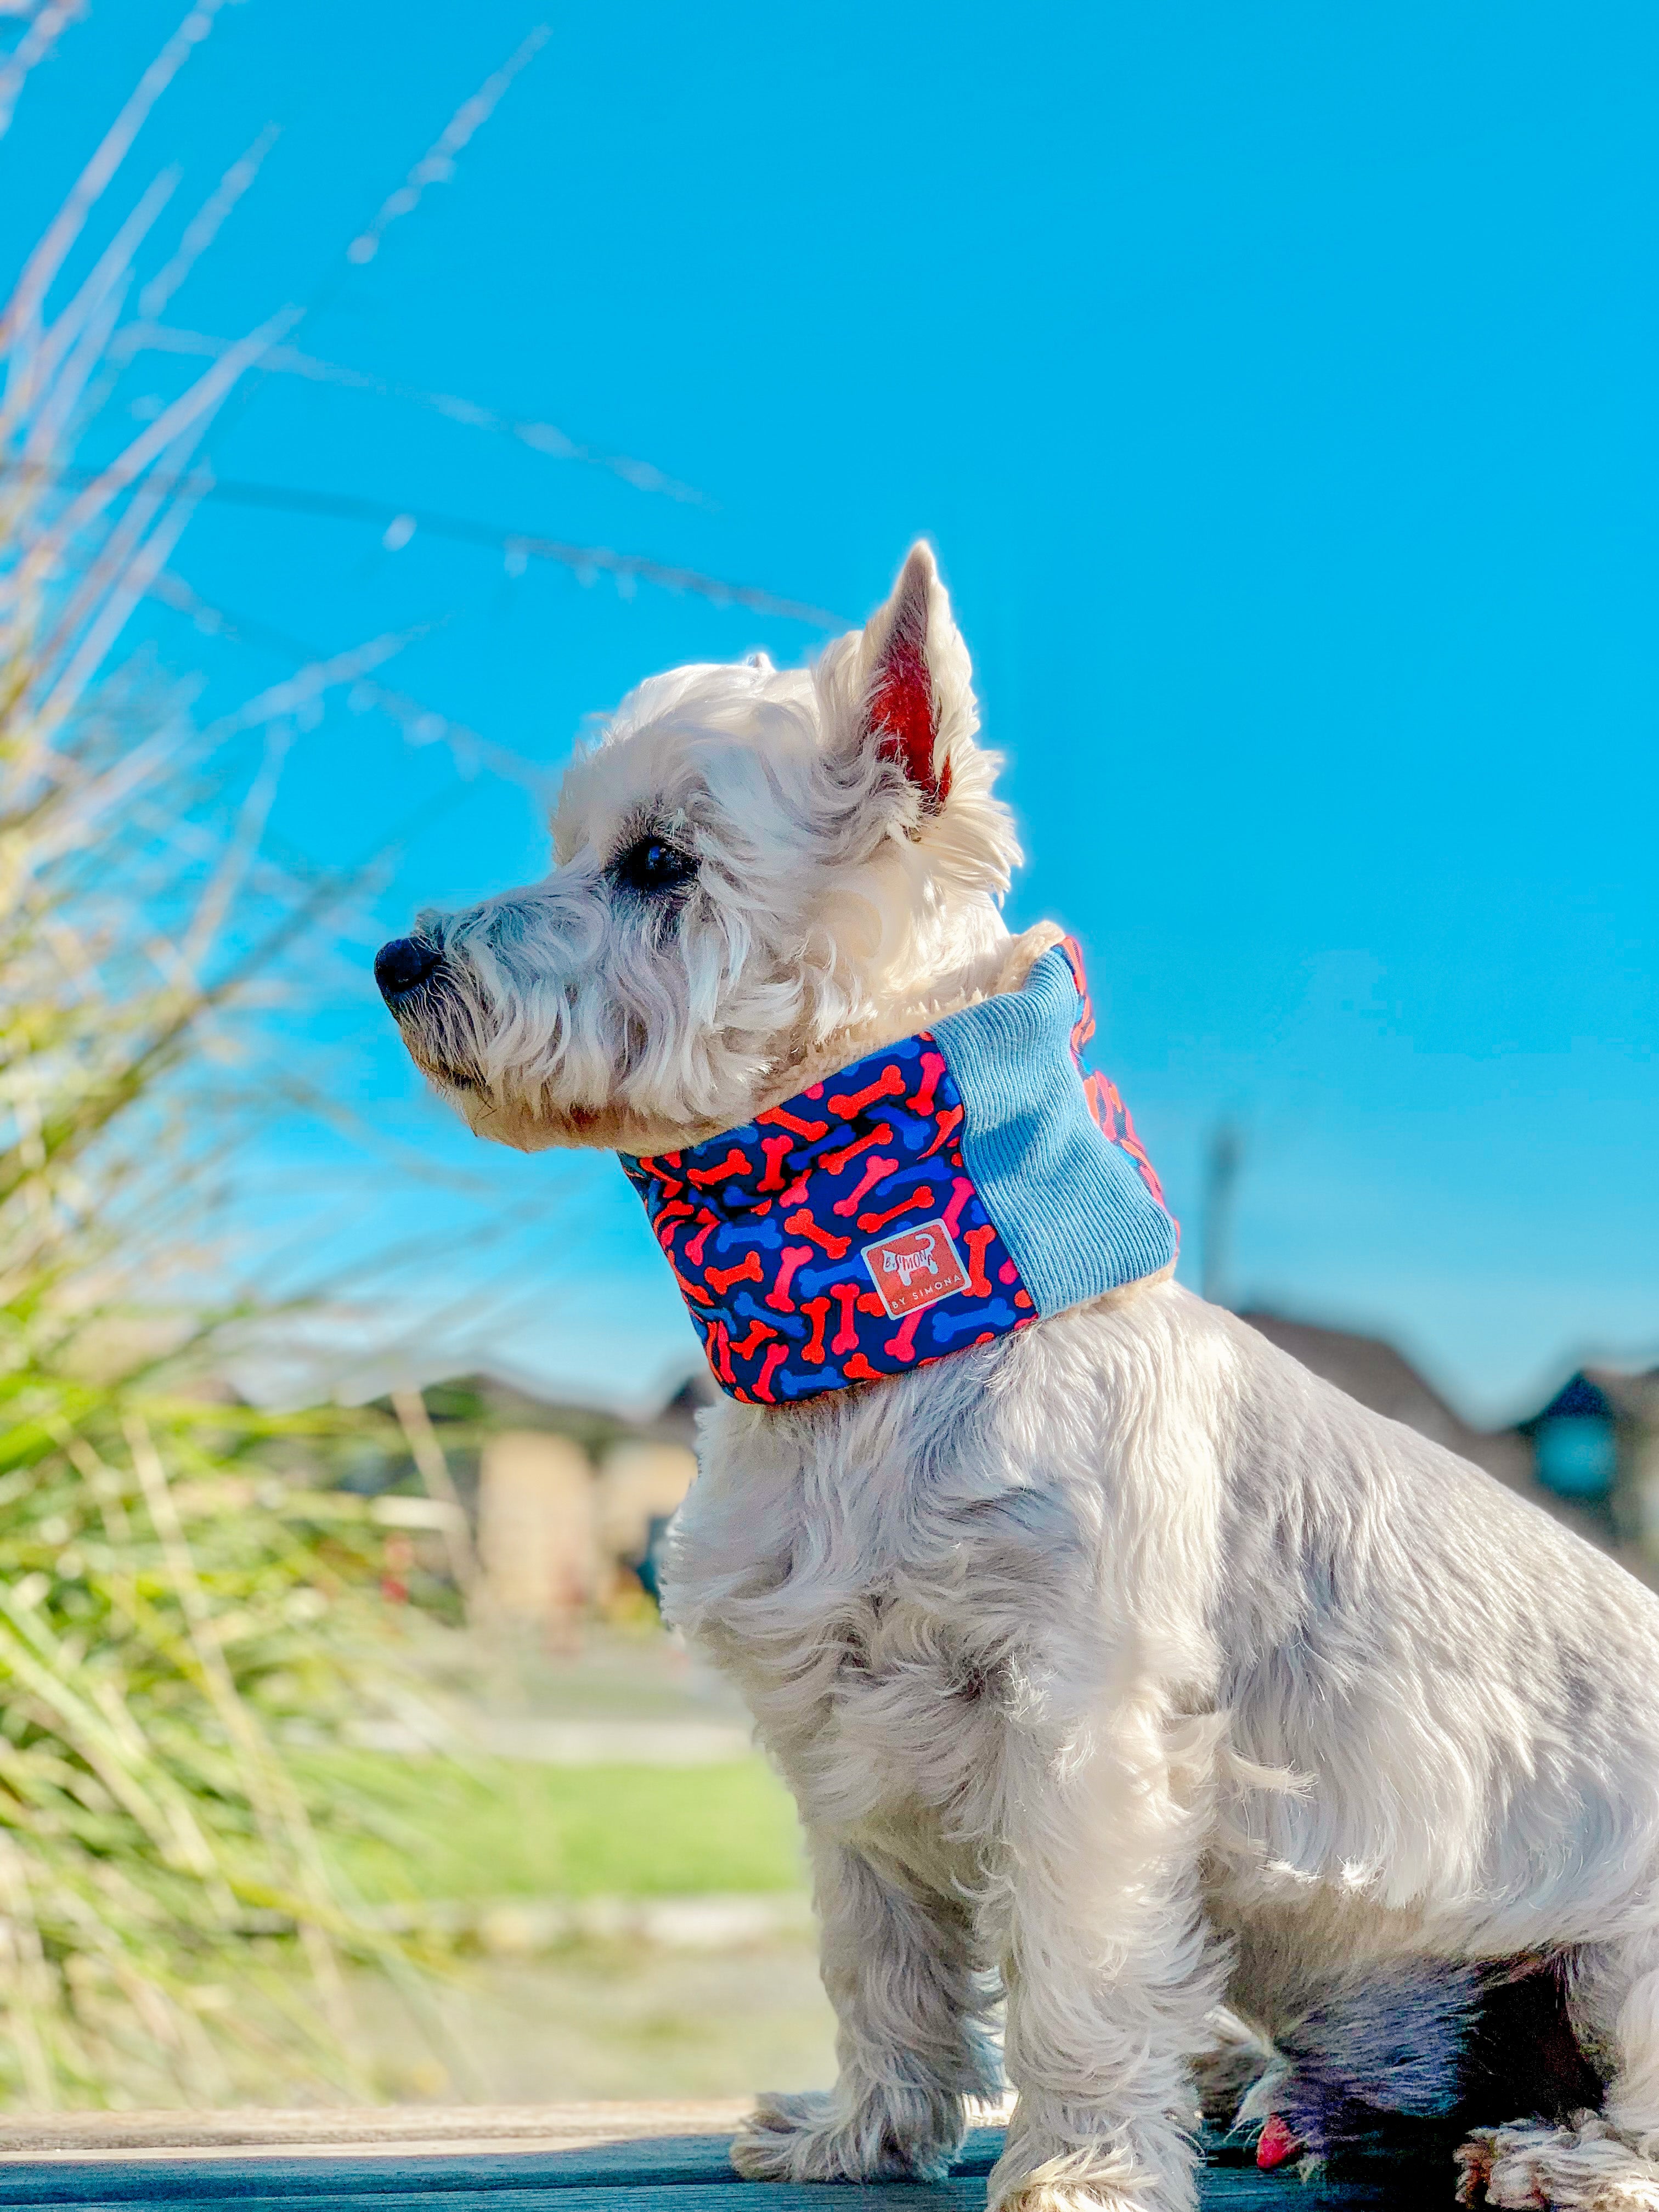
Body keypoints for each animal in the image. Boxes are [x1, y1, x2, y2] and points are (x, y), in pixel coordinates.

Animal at [382, 539, 1659, 2212]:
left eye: (657, 863)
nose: (398, 958)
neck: (883, 1316)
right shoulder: (842, 1732)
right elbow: (877, 1958)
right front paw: (858, 2136)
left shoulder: (1083, 1722)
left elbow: (1078, 1968)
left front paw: (1084, 2170)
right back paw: (1286, 2097)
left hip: (1622, 1957)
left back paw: (1555, 2156)